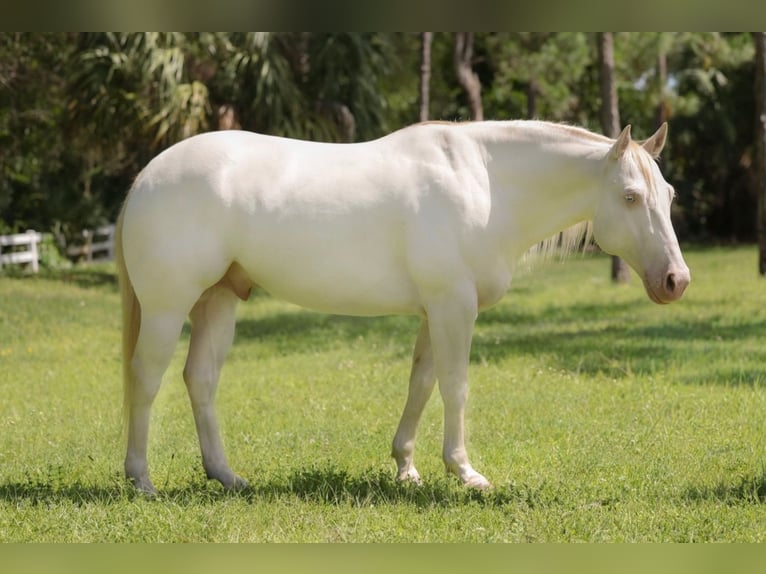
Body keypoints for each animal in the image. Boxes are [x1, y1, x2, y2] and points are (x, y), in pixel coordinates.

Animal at [116, 120, 690, 494]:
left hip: (217, 300)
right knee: (145, 378)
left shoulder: (434, 310)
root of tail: (145, 178)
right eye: (631, 196)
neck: (484, 183)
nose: (676, 280)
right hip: (168, 306)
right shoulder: (454, 307)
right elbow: (456, 388)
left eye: (669, 194)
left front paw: (406, 468)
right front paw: (465, 472)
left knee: (200, 380)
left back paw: (227, 476)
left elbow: (421, 384)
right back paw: (141, 479)